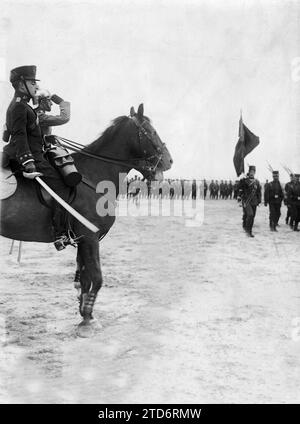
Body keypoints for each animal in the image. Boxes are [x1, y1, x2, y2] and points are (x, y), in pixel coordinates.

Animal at [0, 104, 172, 336]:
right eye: (151, 131)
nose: (169, 160)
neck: (92, 175)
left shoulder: (83, 240)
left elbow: (84, 278)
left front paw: (84, 314)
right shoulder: (89, 237)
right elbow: (97, 277)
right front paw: (88, 318)